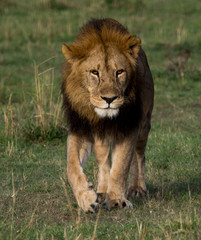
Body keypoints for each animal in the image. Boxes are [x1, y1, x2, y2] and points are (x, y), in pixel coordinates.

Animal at [61, 18, 154, 213]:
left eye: (119, 72)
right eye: (94, 72)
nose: (109, 99)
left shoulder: (129, 126)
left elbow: (121, 166)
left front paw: (117, 199)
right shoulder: (80, 127)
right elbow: (71, 166)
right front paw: (87, 198)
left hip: (144, 123)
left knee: (139, 154)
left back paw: (137, 188)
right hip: (100, 138)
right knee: (103, 162)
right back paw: (102, 191)